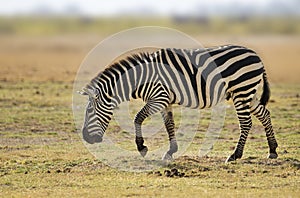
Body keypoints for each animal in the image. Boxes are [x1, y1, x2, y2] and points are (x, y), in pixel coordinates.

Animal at [78, 44, 278, 162]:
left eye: (89, 111)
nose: (86, 138)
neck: (142, 78)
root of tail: (255, 55)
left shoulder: (158, 98)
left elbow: (138, 118)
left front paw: (141, 147)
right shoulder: (164, 101)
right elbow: (169, 124)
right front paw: (171, 151)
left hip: (241, 91)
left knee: (246, 123)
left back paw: (235, 155)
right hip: (249, 93)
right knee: (264, 114)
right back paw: (273, 150)